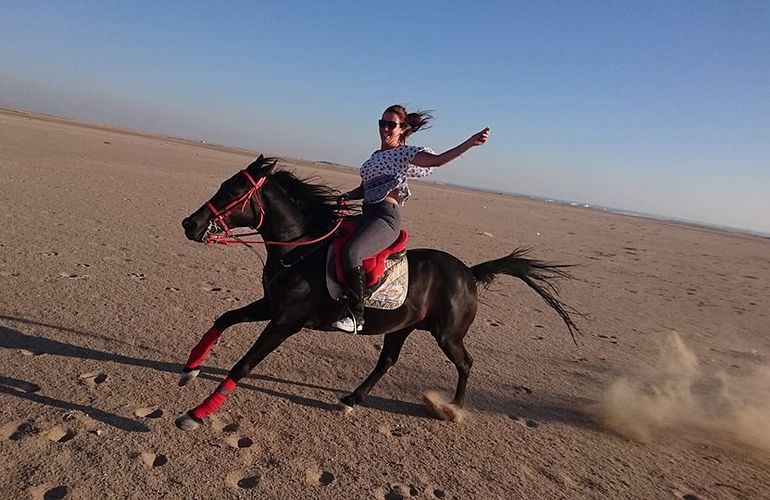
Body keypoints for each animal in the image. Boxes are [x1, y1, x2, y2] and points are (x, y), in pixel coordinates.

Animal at [174, 155, 580, 430]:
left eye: (233, 191)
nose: (189, 224)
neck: (301, 250)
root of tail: (468, 272)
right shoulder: (272, 307)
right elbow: (224, 318)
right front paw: (190, 369)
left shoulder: (286, 321)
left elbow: (243, 364)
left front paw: (196, 413)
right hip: (400, 327)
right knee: (387, 360)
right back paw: (353, 398)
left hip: (447, 335)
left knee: (465, 363)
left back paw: (453, 408)